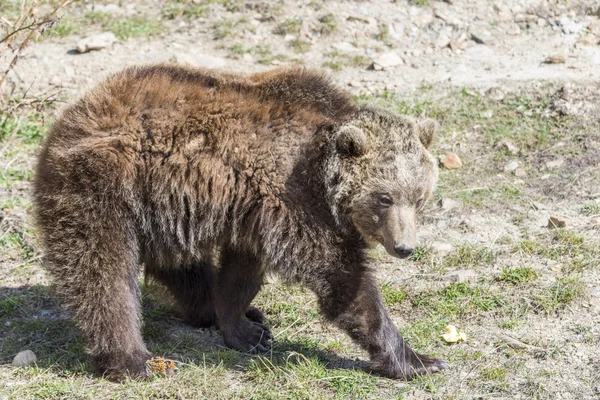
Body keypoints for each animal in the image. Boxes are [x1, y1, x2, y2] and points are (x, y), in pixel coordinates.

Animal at [32, 64, 446, 380]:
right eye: (384, 197)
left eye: (419, 197)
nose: (405, 247)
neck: (321, 174)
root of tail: (68, 118)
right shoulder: (295, 202)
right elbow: (345, 283)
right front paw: (418, 360)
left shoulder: (257, 210)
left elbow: (241, 273)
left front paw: (244, 326)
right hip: (103, 189)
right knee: (104, 274)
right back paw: (131, 360)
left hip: (161, 210)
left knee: (178, 263)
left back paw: (216, 310)